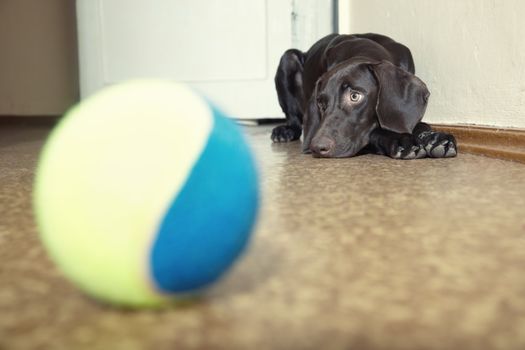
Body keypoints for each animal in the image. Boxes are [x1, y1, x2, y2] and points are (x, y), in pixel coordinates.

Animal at [270, 32, 454, 159]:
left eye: (355, 96)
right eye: (321, 103)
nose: (317, 147)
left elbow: (419, 125)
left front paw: (434, 138)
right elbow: (375, 133)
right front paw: (402, 140)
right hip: (288, 58)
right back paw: (284, 131)